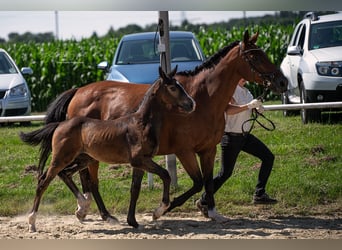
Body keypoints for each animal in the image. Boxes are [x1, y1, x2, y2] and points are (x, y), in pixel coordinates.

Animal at [20, 67, 195, 232]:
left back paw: (83, 205)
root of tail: (60, 124)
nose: (191, 103)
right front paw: (158, 211)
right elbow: (165, 175)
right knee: (44, 181)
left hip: (84, 158)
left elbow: (135, 188)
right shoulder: (139, 160)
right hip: (61, 158)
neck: (141, 123)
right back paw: (32, 222)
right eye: (172, 87)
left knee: (66, 174)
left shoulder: (142, 162)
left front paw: (133, 222)